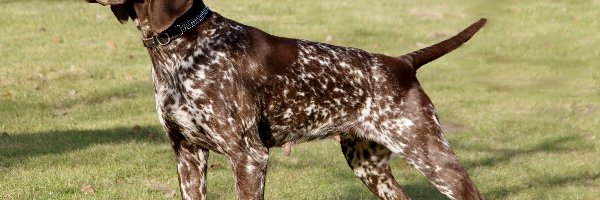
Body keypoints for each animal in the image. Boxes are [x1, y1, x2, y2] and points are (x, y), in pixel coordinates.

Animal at [85, 0, 488, 199]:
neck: (181, 48)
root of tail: (402, 63)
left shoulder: (248, 157)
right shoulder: (187, 155)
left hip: (432, 157)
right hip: (369, 166)